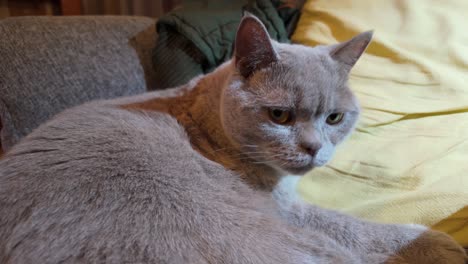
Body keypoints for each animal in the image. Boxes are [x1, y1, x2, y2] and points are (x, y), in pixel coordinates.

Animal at [0, 13, 466, 264]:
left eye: (335, 118)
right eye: (279, 115)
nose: (314, 148)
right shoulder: (288, 211)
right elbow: (353, 226)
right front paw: (439, 242)